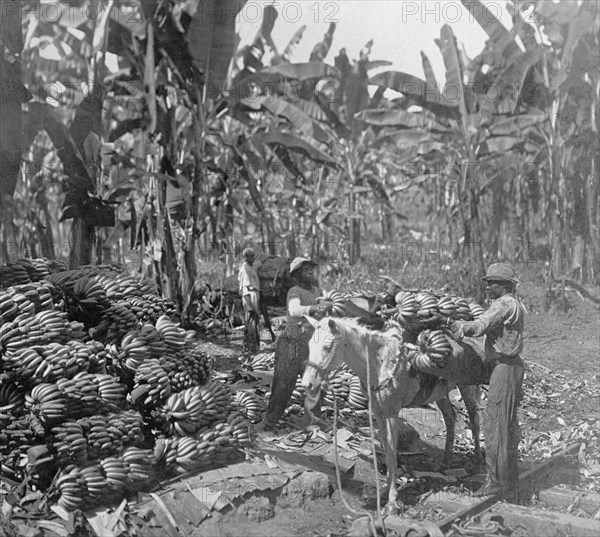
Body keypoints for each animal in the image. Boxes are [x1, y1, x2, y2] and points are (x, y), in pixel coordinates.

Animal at [302, 316, 490, 512]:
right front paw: (385, 489)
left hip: (467, 387)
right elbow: (386, 450)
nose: (307, 384)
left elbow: (392, 454)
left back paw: (478, 464)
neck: (380, 362)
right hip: (440, 392)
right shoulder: (378, 413)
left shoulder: (392, 414)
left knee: (475, 421)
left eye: (327, 347)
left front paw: (392, 501)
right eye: (309, 345)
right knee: (450, 418)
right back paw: (445, 463)